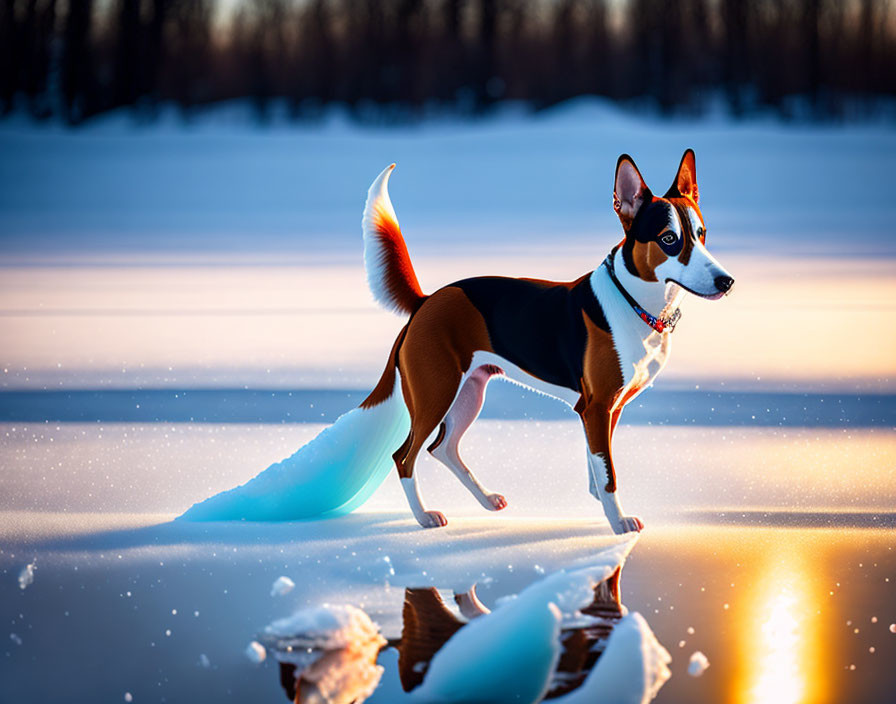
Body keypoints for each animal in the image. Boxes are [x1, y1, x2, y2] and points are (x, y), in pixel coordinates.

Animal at [358, 150, 736, 532]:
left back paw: (487, 499)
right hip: (436, 393)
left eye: (702, 234)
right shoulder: (597, 407)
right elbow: (609, 474)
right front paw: (618, 523)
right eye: (669, 239)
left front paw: (600, 501)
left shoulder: (607, 409)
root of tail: (426, 300)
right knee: (404, 456)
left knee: (443, 447)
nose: (727, 281)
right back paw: (424, 516)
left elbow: (598, 465)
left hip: (469, 393)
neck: (633, 300)